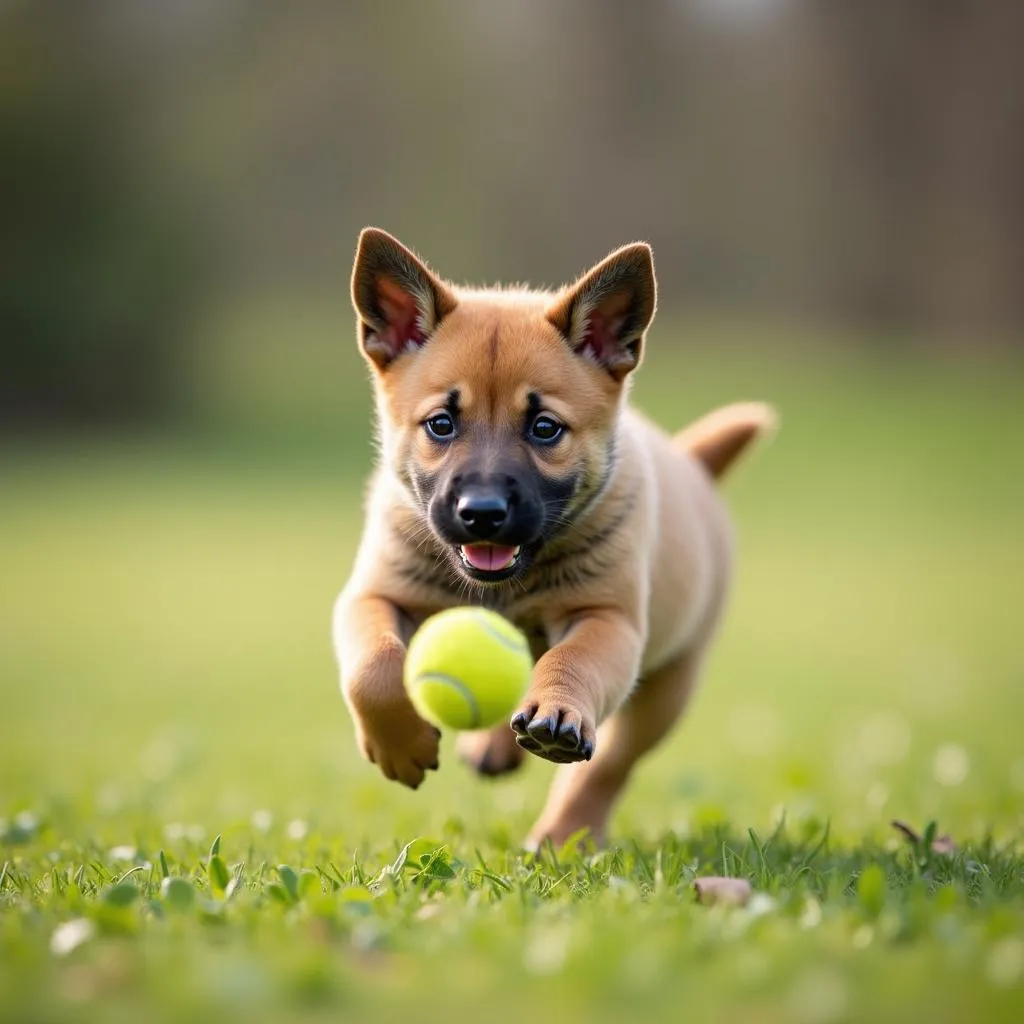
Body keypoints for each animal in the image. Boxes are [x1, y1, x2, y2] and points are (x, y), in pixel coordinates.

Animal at [329, 230, 774, 847]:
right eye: (441, 424)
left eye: (545, 429)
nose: (482, 514)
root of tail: (691, 461)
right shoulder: (373, 594)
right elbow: (373, 669)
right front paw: (401, 744)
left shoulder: (607, 620)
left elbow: (571, 661)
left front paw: (556, 712)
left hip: (668, 685)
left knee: (609, 766)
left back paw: (565, 833)